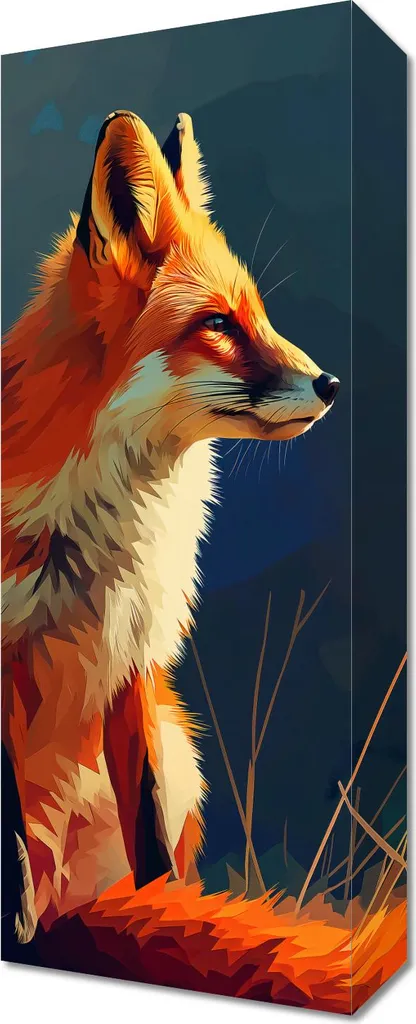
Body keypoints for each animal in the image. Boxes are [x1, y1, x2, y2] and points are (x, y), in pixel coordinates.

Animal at [2, 110, 340, 951]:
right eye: (217, 324)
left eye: (260, 316)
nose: (330, 384)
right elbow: (10, 839)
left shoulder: (133, 655)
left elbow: (150, 837)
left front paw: (167, 916)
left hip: (181, 742)